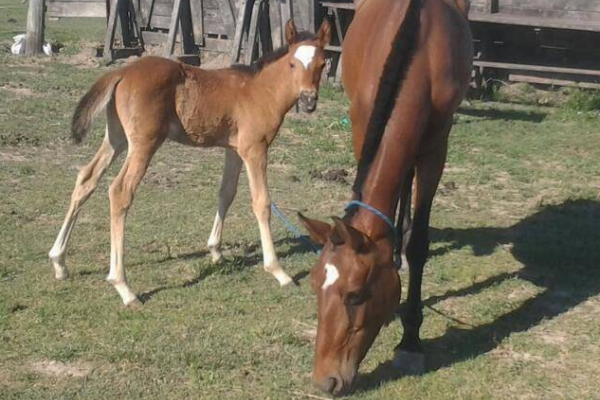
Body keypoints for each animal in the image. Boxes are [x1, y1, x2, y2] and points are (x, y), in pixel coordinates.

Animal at [50, 20, 332, 308]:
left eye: (322, 64)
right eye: (293, 64)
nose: (309, 100)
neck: (260, 90)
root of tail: (122, 71)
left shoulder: (234, 150)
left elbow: (226, 193)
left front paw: (216, 251)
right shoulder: (255, 149)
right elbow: (261, 203)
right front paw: (278, 271)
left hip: (116, 138)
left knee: (87, 179)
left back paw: (59, 262)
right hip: (143, 144)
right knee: (120, 192)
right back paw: (124, 287)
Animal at [300, 0, 474, 394]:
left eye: (355, 295)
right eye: (315, 285)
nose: (325, 382)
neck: (421, 51)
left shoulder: (436, 148)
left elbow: (420, 242)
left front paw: (410, 342)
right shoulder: (363, 124)